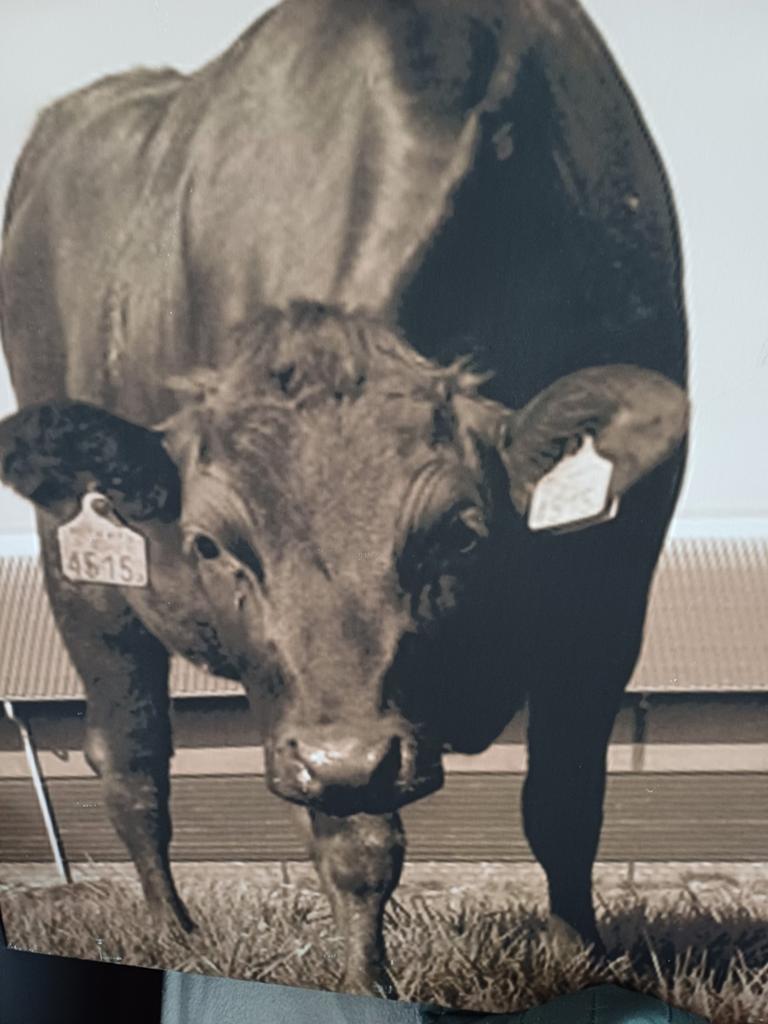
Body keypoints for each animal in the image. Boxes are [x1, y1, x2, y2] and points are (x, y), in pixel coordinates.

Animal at [0, 0, 688, 1000]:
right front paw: (366, 985)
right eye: (211, 544)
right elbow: (356, 844)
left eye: (461, 535)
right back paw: (172, 931)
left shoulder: (610, 584)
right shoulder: (303, 698)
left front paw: (582, 960)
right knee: (131, 759)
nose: (347, 756)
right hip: (80, 568)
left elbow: (566, 797)